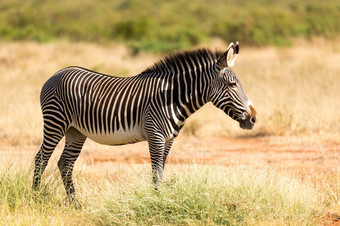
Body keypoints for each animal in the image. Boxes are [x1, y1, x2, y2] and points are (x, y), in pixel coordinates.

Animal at [32, 42, 255, 200]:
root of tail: (57, 72)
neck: (172, 97)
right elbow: (156, 173)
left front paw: (159, 200)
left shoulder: (169, 139)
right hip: (55, 122)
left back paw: (75, 204)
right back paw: (35, 197)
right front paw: (156, 203)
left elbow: (161, 171)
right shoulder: (155, 134)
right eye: (232, 85)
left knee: (65, 163)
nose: (253, 118)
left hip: (76, 131)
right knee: (41, 158)